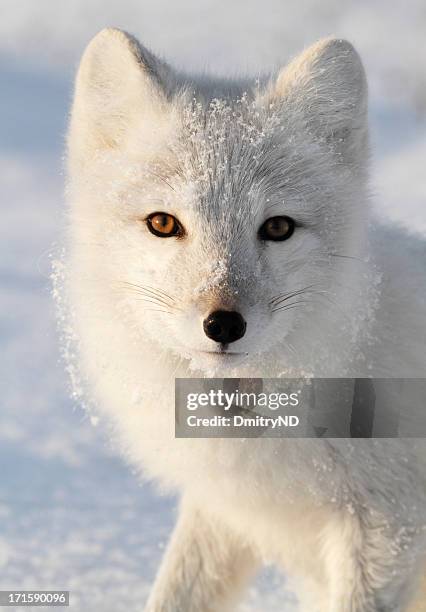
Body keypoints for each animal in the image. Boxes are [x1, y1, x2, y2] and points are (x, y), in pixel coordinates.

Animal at [64, 28, 426, 612]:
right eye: (162, 223)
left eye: (278, 227)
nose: (224, 326)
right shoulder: (225, 508)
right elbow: (173, 594)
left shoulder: (385, 525)